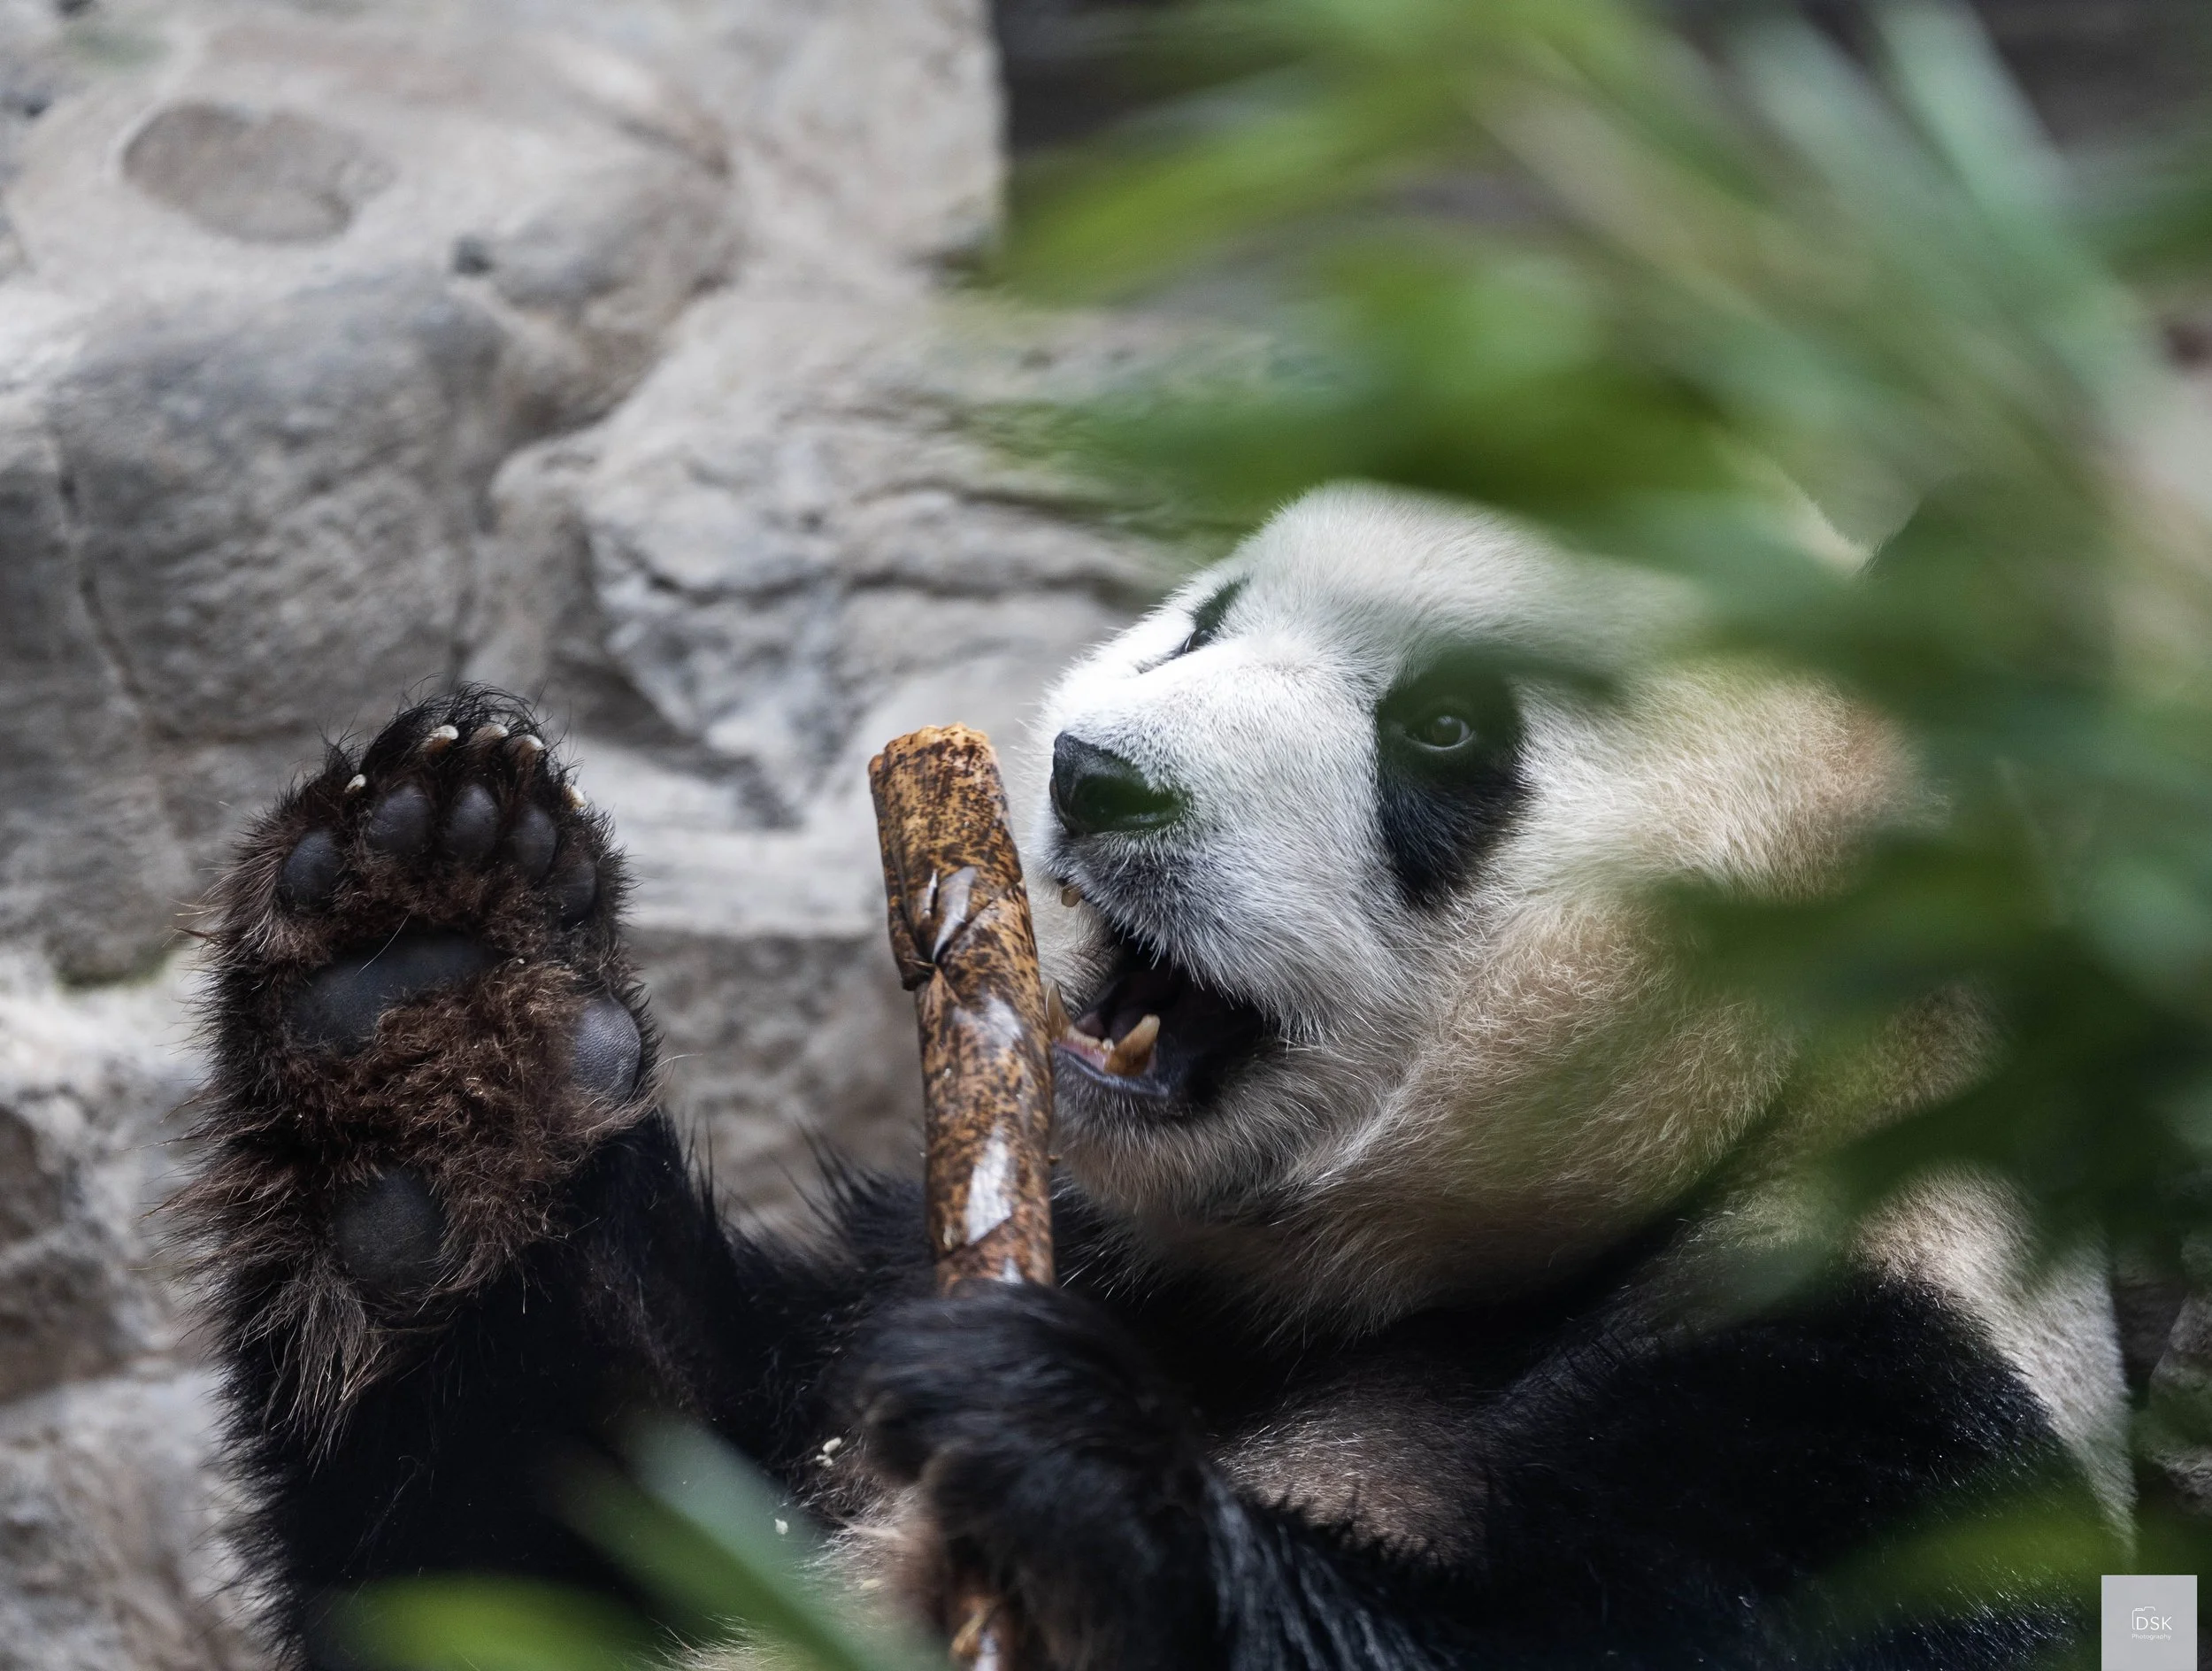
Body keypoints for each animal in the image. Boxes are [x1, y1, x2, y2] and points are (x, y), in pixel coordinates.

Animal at [182, 482, 2129, 1670]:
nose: (1098, 773)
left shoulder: (1873, 1413)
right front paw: (433, 979)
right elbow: (553, 1532)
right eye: (1203, 619)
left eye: (1445, 728)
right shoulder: (1001, 1249)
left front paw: (1062, 1446)